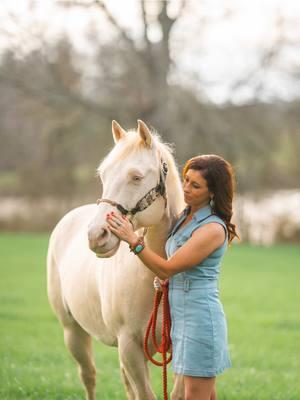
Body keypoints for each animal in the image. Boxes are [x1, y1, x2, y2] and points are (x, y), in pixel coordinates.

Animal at [47, 119, 184, 400]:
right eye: (103, 176)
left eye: (136, 177)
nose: (96, 235)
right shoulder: (130, 347)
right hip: (73, 333)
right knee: (88, 376)